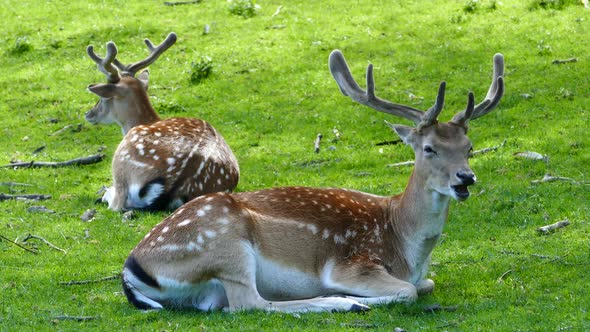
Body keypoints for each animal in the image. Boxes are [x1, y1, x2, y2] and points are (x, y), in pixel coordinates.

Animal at [84, 33, 240, 210]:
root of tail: (173, 186)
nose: (89, 114)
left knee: (117, 203)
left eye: (103, 97)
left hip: (121, 161)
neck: (148, 120)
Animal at [122, 49, 506, 312]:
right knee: (249, 304)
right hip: (225, 245)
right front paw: (351, 295)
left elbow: (426, 284)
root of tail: (130, 269)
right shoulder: (351, 264)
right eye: (429, 148)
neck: (405, 243)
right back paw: (342, 302)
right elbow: (408, 290)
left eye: (468, 147)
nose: (466, 178)